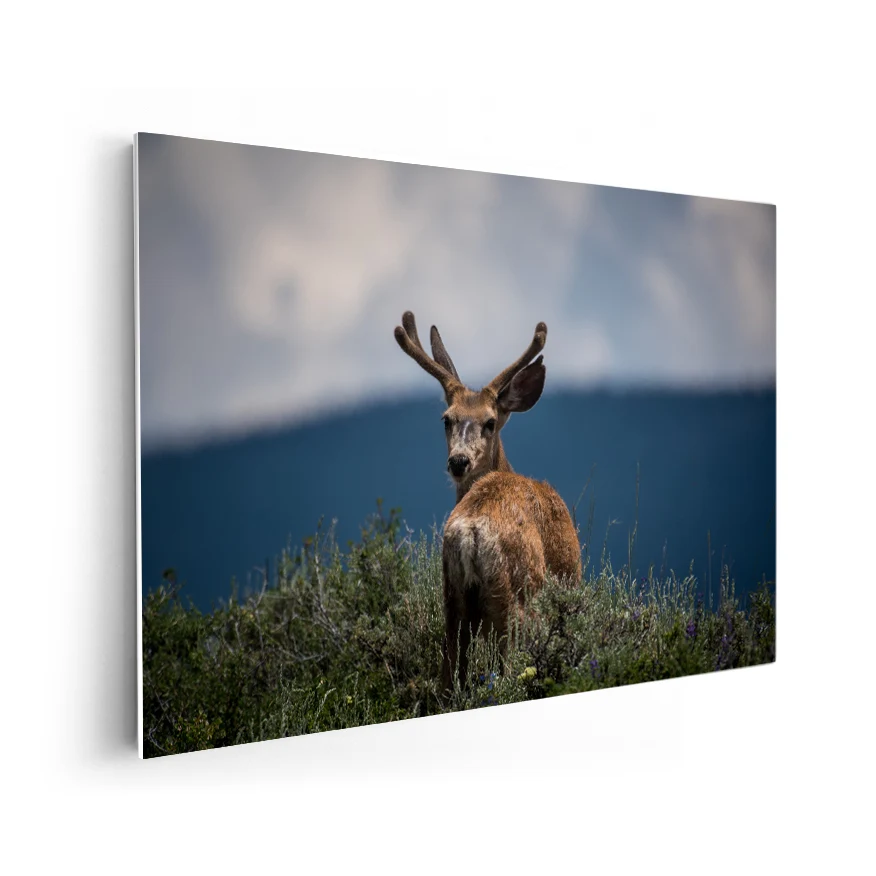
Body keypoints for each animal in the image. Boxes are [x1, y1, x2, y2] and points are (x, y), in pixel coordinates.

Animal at [394, 311, 581, 692]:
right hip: (515, 599)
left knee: (449, 677)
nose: (459, 461)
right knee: (509, 672)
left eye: (490, 422)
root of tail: (470, 534)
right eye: (447, 419)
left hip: (452, 598)